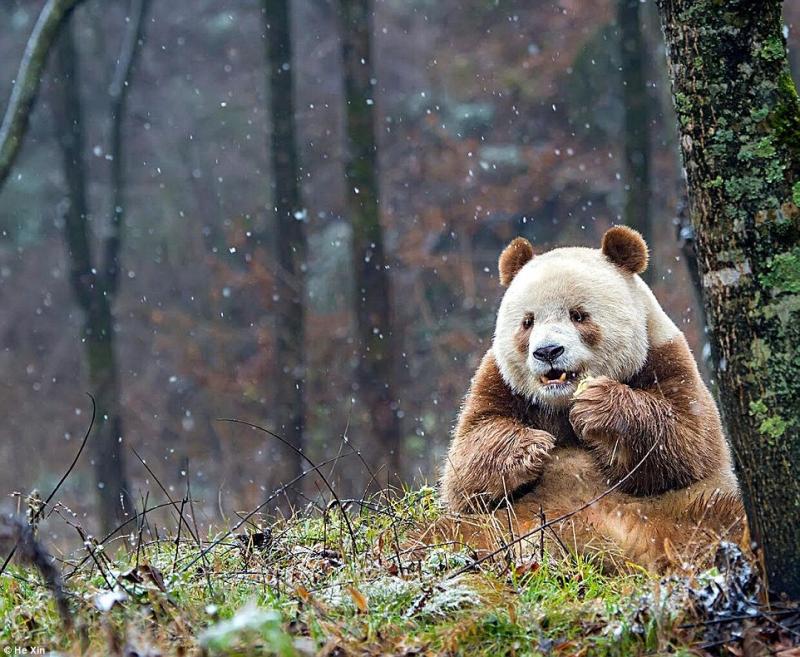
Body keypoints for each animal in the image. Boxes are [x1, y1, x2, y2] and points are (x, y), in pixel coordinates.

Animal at [438, 226, 743, 569]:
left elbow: (686, 442)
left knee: (722, 519)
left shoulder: (665, 359)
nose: (548, 351)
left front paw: (598, 407)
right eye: (528, 321)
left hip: (681, 511)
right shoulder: (499, 382)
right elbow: (466, 465)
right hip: (498, 523)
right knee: (443, 533)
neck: (560, 402)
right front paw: (531, 447)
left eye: (579, 316)